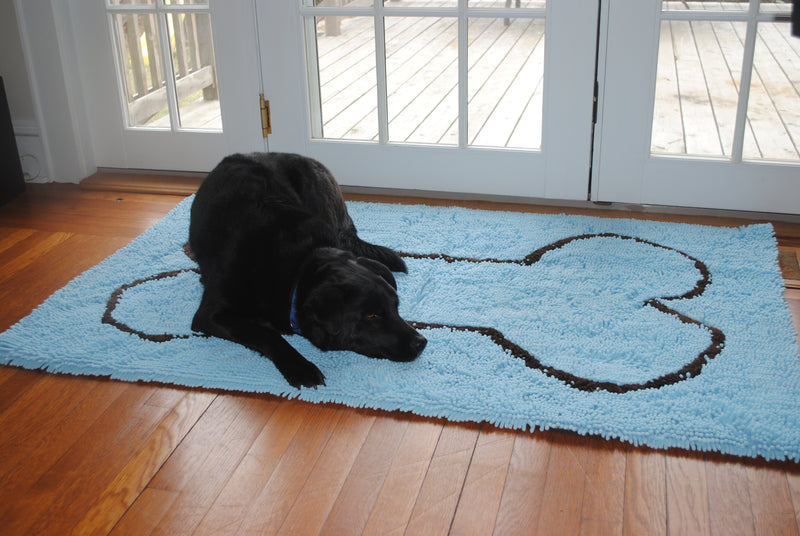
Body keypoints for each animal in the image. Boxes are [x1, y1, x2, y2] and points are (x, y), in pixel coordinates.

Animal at [189, 153, 424, 388]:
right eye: (371, 315)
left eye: (396, 307)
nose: (421, 342)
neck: (295, 272)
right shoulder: (210, 315)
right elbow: (265, 334)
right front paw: (301, 367)